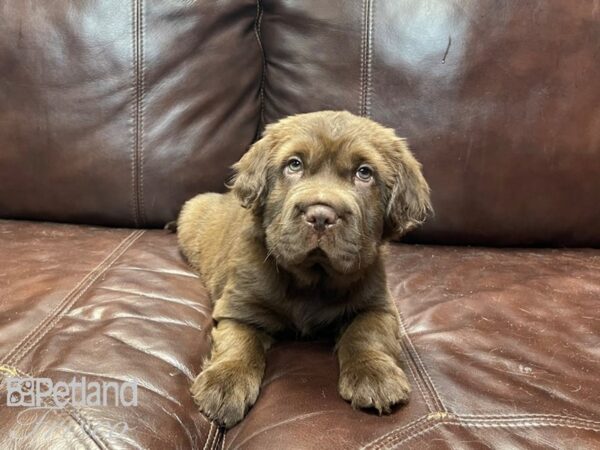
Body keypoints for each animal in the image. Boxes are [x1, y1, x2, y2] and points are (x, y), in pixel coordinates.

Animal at [177, 110, 432, 428]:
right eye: (294, 164)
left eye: (364, 172)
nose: (321, 216)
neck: (313, 278)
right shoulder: (239, 305)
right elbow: (239, 341)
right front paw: (224, 383)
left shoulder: (378, 303)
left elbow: (367, 332)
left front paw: (375, 376)